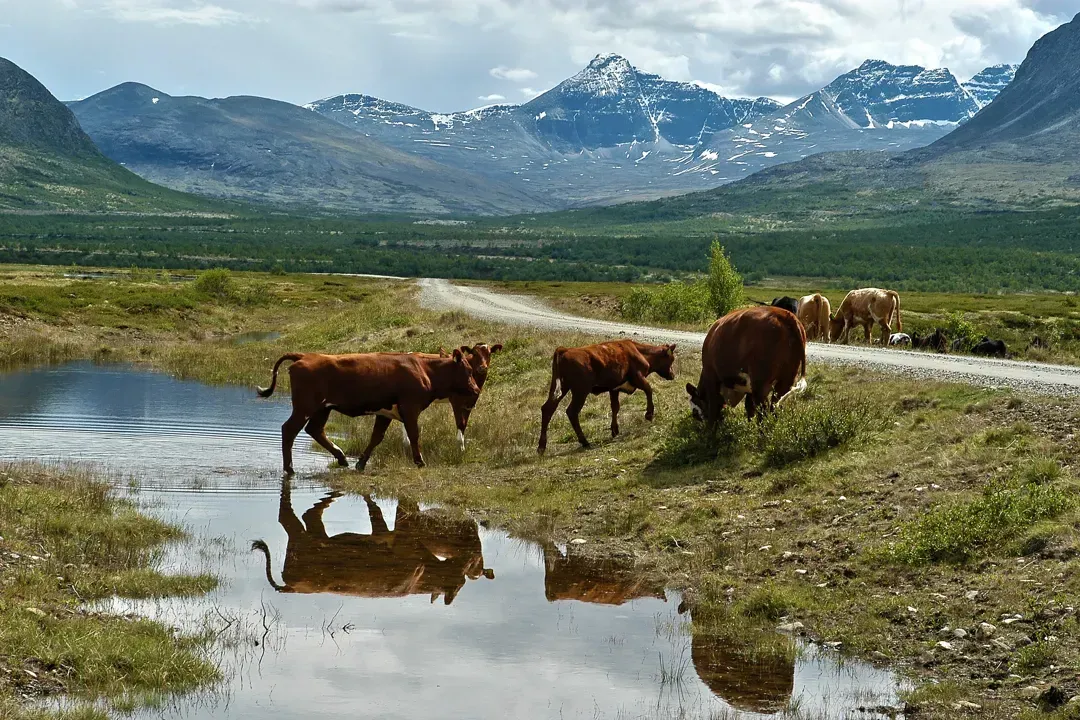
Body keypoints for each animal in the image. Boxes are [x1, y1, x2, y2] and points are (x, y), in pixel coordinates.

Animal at [257, 349, 477, 474]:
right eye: (468, 370)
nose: (476, 389)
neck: (425, 369)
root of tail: (305, 356)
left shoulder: (384, 413)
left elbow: (376, 437)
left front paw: (361, 463)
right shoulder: (410, 408)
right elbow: (414, 434)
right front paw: (420, 461)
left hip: (322, 409)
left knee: (315, 430)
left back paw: (342, 458)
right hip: (305, 407)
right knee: (289, 430)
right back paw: (290, 468)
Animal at [537, 341, 673, 453]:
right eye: (671, 359)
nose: (673, 375)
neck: (639, 350)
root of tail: (564, 349)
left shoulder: (614, 388)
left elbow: (615, 407)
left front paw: (614, 429)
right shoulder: (637, 378)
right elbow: (649, 390)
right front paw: (649, 414)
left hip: (560, 388)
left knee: (548, 409)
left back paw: (541, 447)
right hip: (580, 391)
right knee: (572, 412)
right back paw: (584, 442)